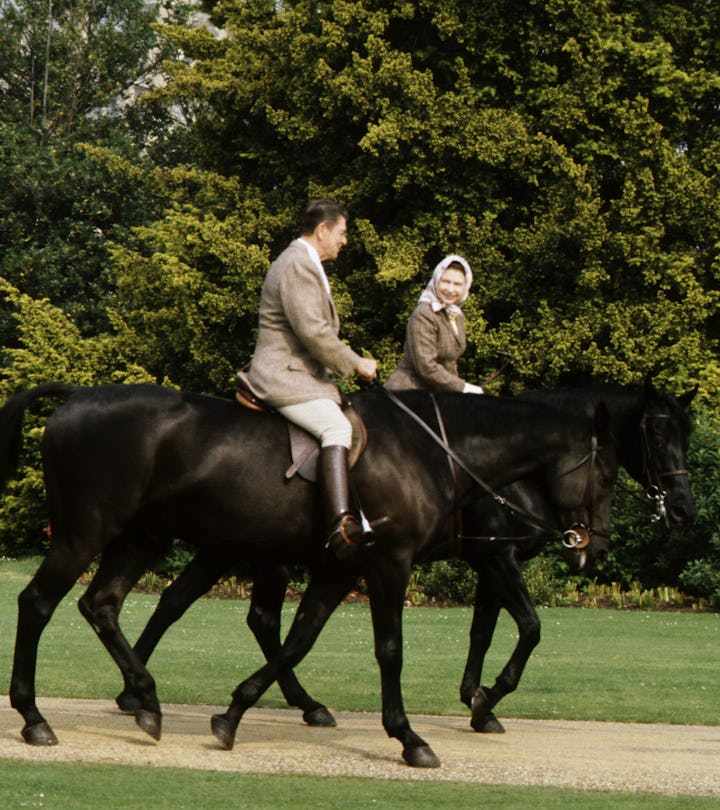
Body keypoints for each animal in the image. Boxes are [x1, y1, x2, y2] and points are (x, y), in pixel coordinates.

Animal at [2, 382, 616, 768]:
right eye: (607, 475)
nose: (596, 546)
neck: (431, 450)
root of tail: (78, 396)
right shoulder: (391, 564)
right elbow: (391, 650)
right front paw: (410, 736)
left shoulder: (338, 569)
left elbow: (299, 640)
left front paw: (233, 714)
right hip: (87, 534)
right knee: (38, 603)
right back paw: (35, 716)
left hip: (143, 539)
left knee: (104, 604)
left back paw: (145, 698)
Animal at [115, 378, 696, 732]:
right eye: (656, 433)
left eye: (687, 436)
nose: (684, 508)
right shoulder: (495, 561)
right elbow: (529, 628)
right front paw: (486, 699)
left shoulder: (489, 563)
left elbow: (483, 631)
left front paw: (477, 700)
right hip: (253, 555)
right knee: (219, 611)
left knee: (202, 607)